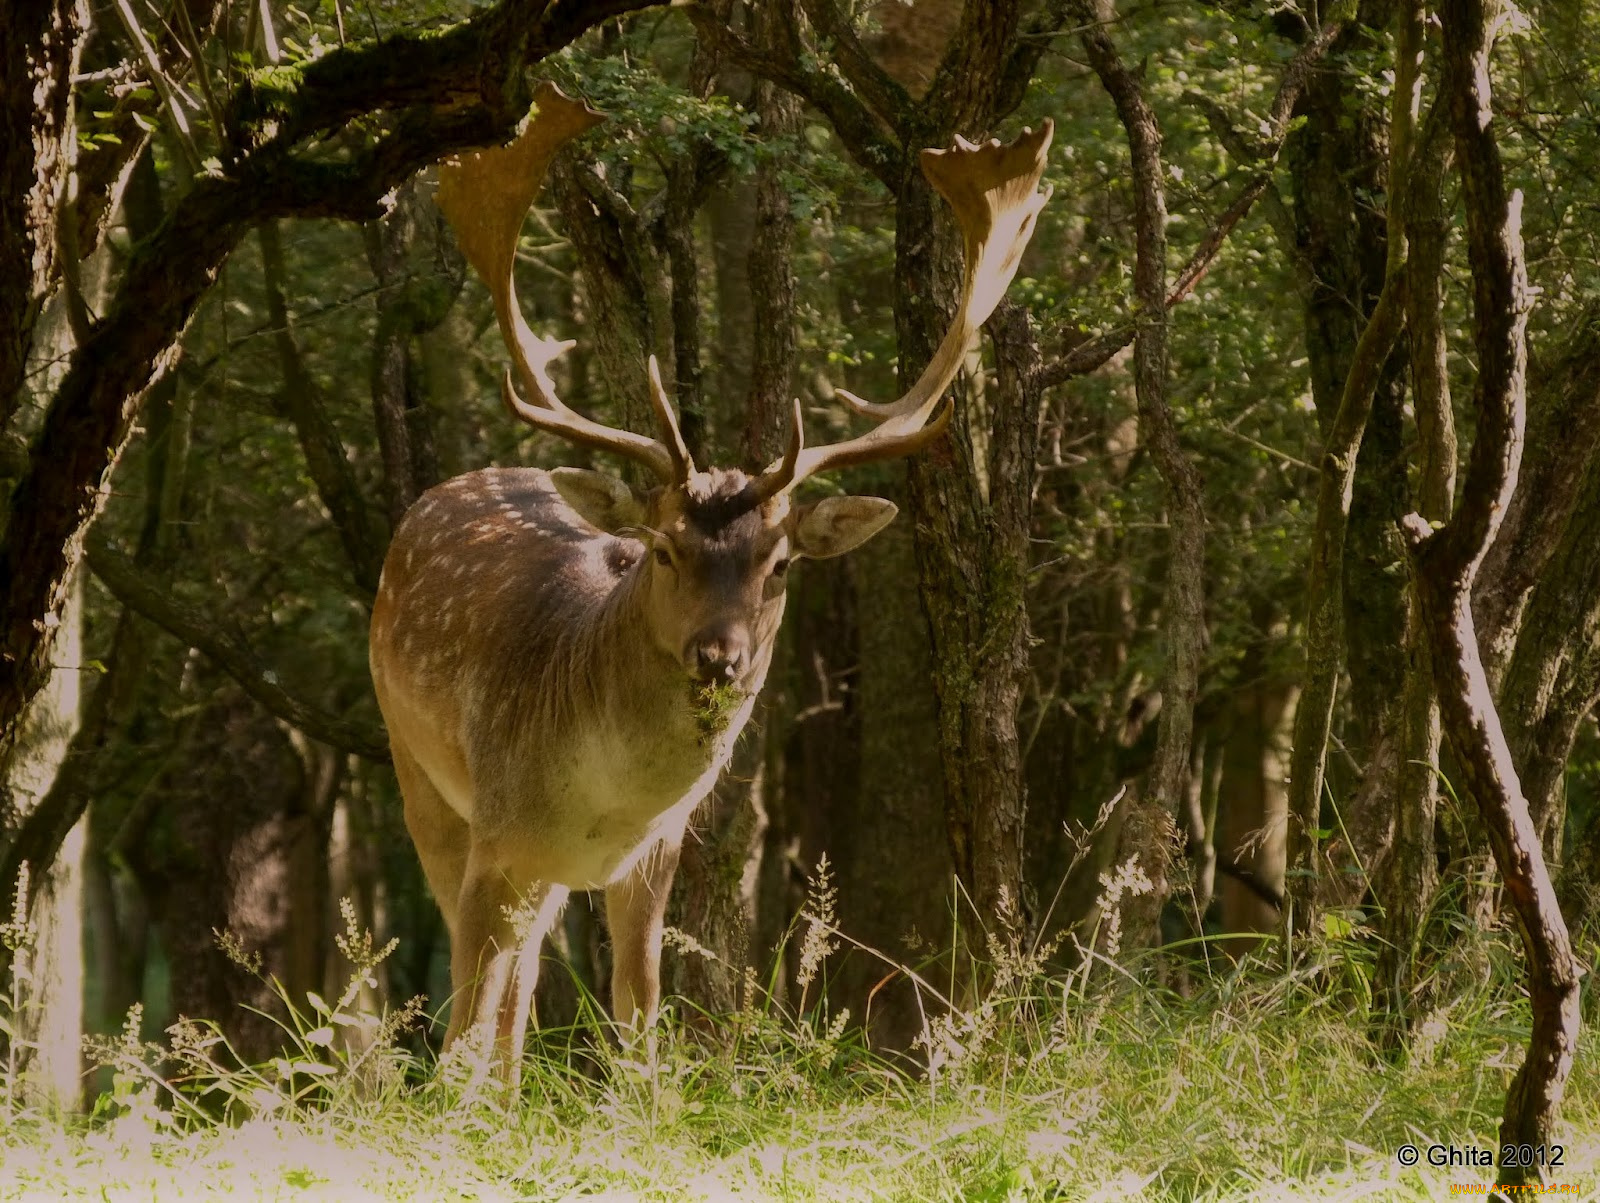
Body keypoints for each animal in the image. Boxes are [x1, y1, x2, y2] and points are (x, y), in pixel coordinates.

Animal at [368, 84, 1056, 1075]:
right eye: (663, 549)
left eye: (780, 562)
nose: (718, 654)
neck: (602, 802)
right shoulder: (496, 828)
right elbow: (463, 1018)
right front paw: (457, 1104)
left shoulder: (652, 855)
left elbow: (640, 1011)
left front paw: (631, 1093)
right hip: (417, 769)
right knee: (493, 977)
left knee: (525, 975)